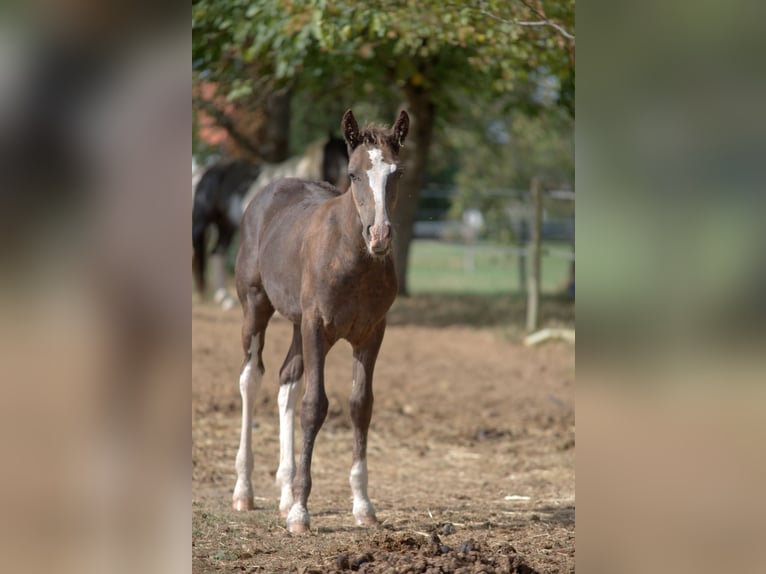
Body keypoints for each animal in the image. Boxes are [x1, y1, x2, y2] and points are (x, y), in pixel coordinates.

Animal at [192, 136, 349, 308]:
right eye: (333, 154)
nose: (346, 176)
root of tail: (205, 171)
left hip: (225, 226)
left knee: (217, 252)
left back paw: (224, 298)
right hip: (201, 223)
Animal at [231, 109, 409, 534]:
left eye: (397, 173)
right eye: (353, 174)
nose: (379, 235)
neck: (353, 259)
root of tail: (272, 186)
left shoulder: (371, 333)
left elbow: (361, 405)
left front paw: (363, 505)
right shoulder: (317, 326)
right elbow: (314, 406)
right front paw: (300, 512)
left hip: (298, 324)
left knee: (286, 381)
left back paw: (282, 491)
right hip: (256, 305)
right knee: (251, 377)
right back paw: (245, 491)